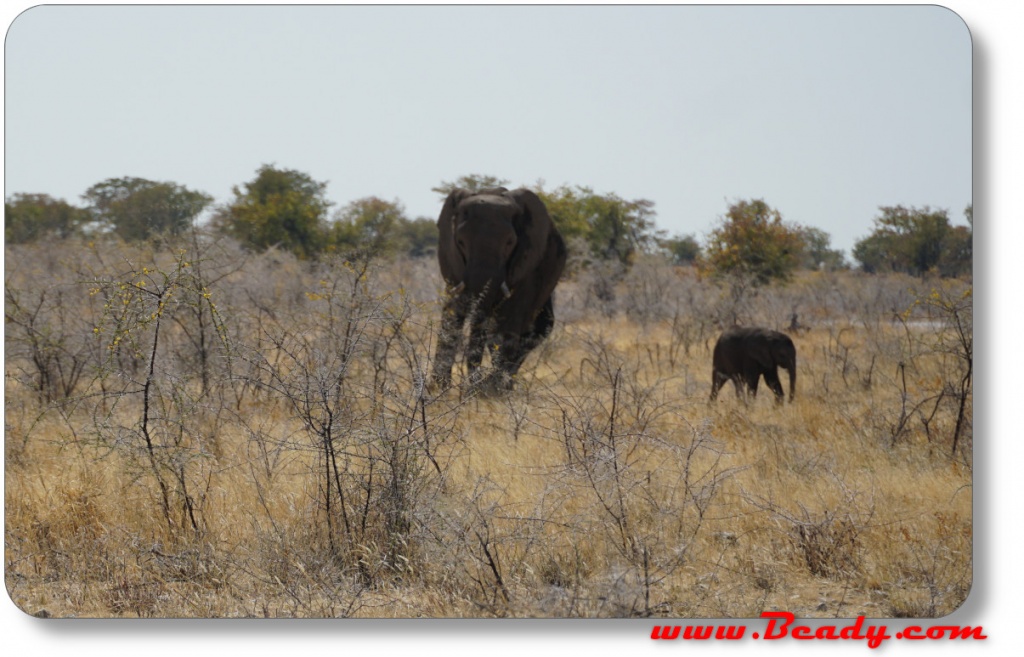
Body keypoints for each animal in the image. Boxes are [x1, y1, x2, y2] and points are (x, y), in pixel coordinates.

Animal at [425, 186, 565, 390]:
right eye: (460, 242)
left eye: (509, 243)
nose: (470, 385)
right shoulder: (451, 262)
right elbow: (451, 314)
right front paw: (438, 388)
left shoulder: (526, 263)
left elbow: (509, 320)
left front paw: (489, 390)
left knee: (537, 329)